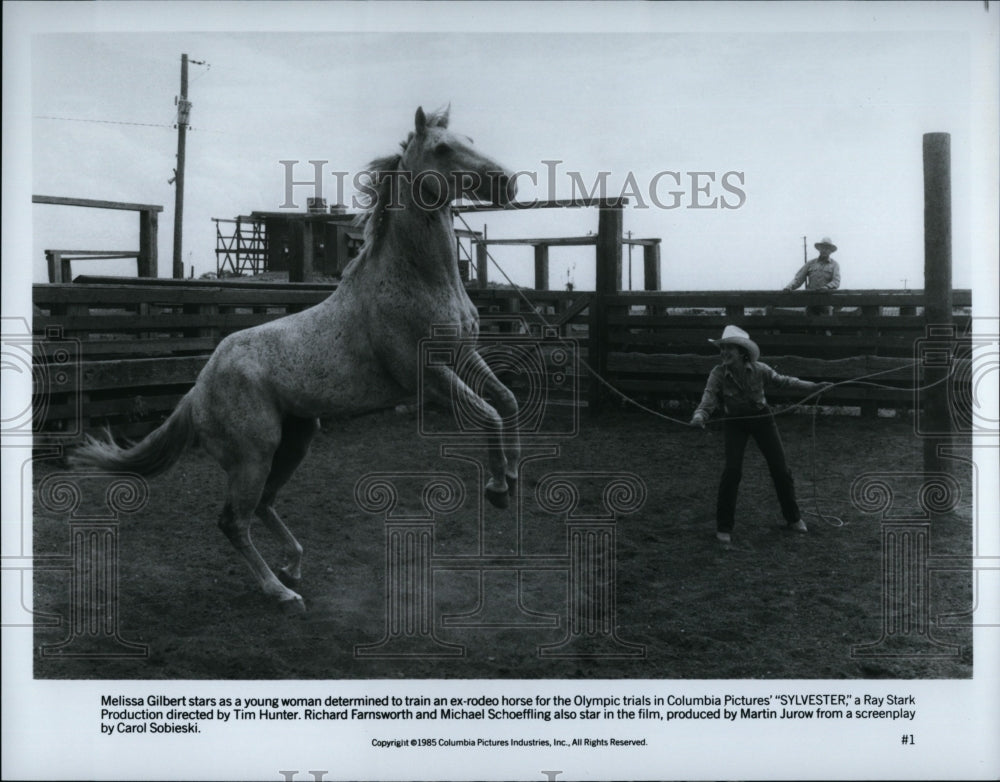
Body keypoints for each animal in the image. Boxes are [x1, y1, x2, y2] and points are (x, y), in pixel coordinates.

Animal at [68, 107, 524, 616]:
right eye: (443, 149)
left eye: (470, 139)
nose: (508, 184)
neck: (420, 280)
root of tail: (198, 388)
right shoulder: (425, 374)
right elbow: (487, 412)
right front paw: (498, 491)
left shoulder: (464, 355)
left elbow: (506, 401)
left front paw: (510, 475)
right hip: (254, 454)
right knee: (233, 521)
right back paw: (281, 591)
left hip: (296, 440)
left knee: (264, 505)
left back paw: (293, 564)